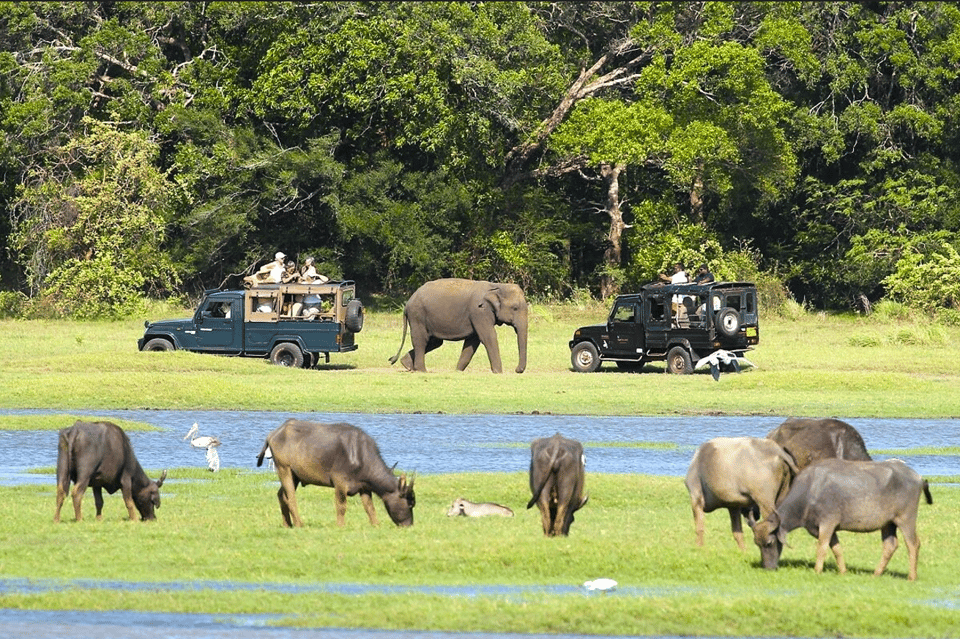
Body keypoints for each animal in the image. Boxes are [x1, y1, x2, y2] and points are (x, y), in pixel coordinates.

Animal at [255, 418, 416, 528]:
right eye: (410, 504)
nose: (409, 525)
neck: (360, 456)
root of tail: (274, 433)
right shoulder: (340, 483)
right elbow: (341, 506)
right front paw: (340, 525)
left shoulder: (364, 487)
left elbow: (370, 508)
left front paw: (376, 524)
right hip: (284, 469)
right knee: (291, 498)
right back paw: (299, 523)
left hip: (295, 476)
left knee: (281, 495)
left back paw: (287, 524)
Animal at [386, 278, 528, 372]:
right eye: (515, 308)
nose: (517, 370)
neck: (497, 286)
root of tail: (407, 303)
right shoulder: (479, 312)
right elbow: (488, 337)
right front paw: (498, 372)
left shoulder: (477, 315)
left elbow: (472, 342)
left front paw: (458, 371)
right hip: (417, 315)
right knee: (421, 340)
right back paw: (421, 370)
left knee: (434, 342)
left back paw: (407, 365)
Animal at [752, 460, 932, 580]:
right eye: (757, 544)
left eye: (769, 543)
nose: (768, 568)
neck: (810, 492)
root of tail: (918, 477)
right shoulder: (829, 528)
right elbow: (836, 549)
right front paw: (843, 571)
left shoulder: (827, 523)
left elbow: (822, 547)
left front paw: (817, 570)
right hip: (888, 524)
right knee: (890, 545)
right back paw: (876, 573)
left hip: (906, 519)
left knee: (913, 544)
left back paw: (912, 576)